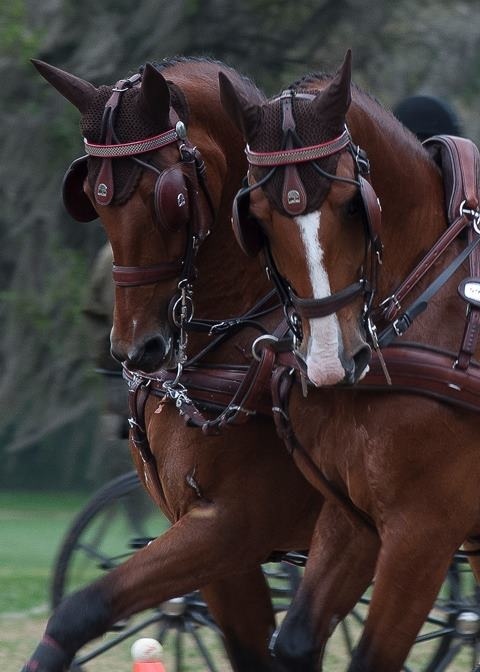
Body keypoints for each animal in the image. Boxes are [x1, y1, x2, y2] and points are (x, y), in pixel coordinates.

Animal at [23, 56, 322, 672]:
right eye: (91, 195)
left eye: (170, 196)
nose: (135, 350)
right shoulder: (218, 545)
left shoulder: (230, 527)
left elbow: (81, 608)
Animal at [219, 50, 480, 668]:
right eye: (257, 215)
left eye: (349, 206)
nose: (329, 362)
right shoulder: (353, 516)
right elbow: (293, 641)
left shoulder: (424, 531)